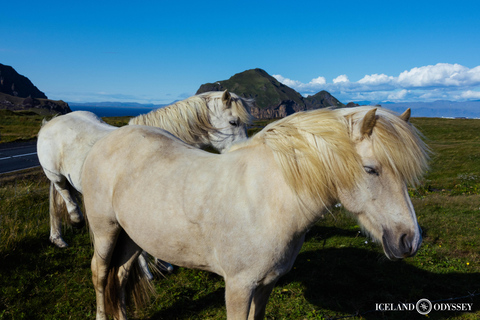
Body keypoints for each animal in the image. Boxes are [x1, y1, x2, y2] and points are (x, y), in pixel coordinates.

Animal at [37, 89, 253, 249]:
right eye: (233, 122)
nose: (242, 152)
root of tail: (51, 123)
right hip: (56, 176)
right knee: (64, 193)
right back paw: (74, 221)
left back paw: (57, 236)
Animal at [80, 106, 430, 318]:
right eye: (371, 169)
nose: (409, 241)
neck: (267, 201)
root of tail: (109, 138)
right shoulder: (238, 286)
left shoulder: (265, 285)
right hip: (106, 230)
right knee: (101, 273)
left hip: (132, 235)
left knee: (120, 275)